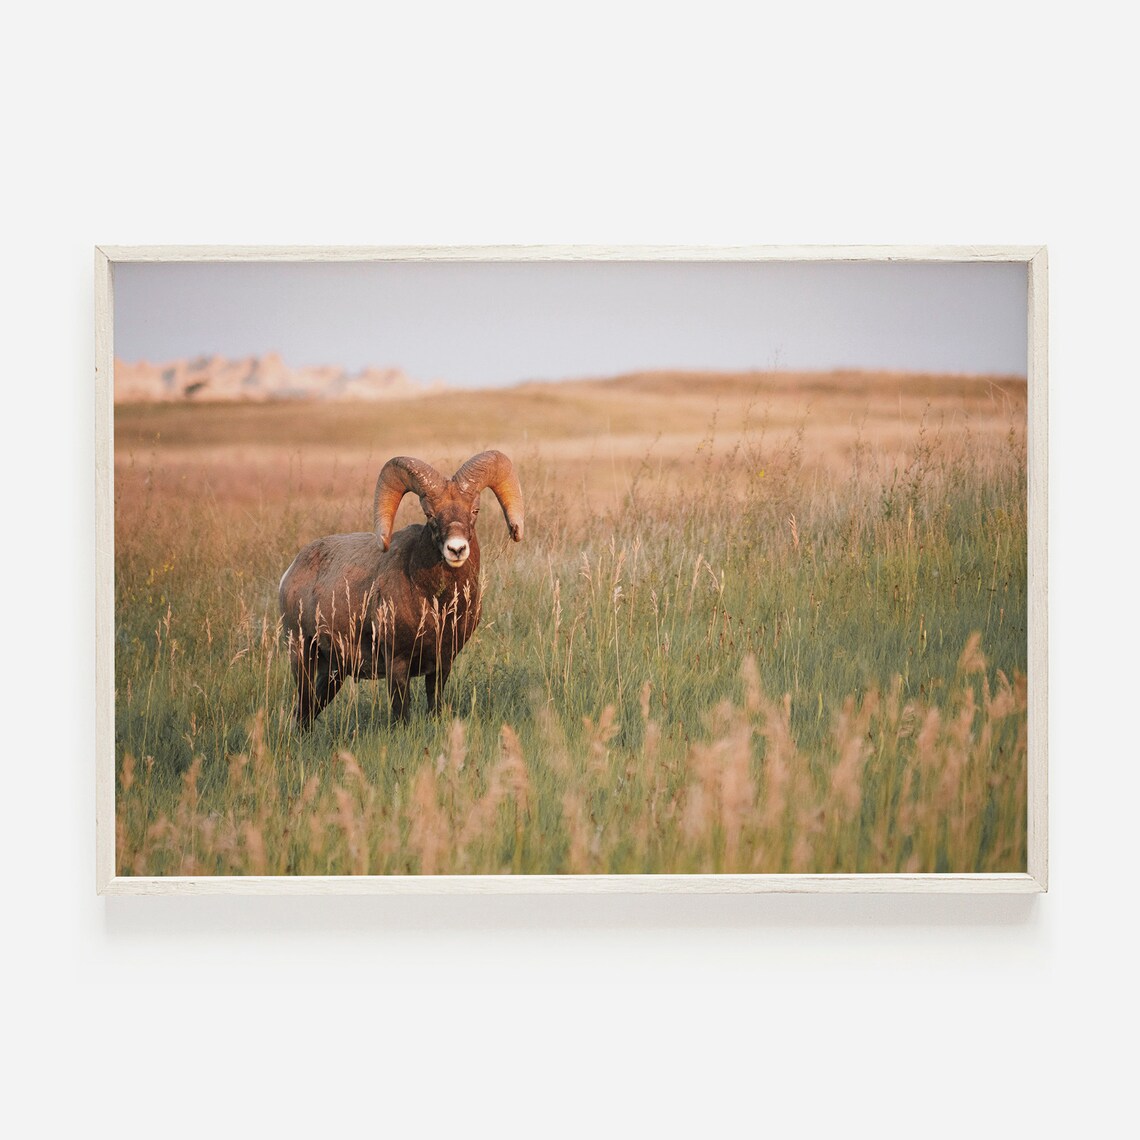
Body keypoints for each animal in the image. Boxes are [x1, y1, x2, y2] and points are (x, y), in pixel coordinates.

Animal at [278, 450, 523, 727]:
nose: (456, 549)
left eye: (475, 510)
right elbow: (401, 714)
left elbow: (434, 705)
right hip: (301, 655)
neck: (438, 606)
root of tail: (290, 573)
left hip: (333, 673)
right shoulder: (397, 664)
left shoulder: (442, 665)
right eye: (430, 515)